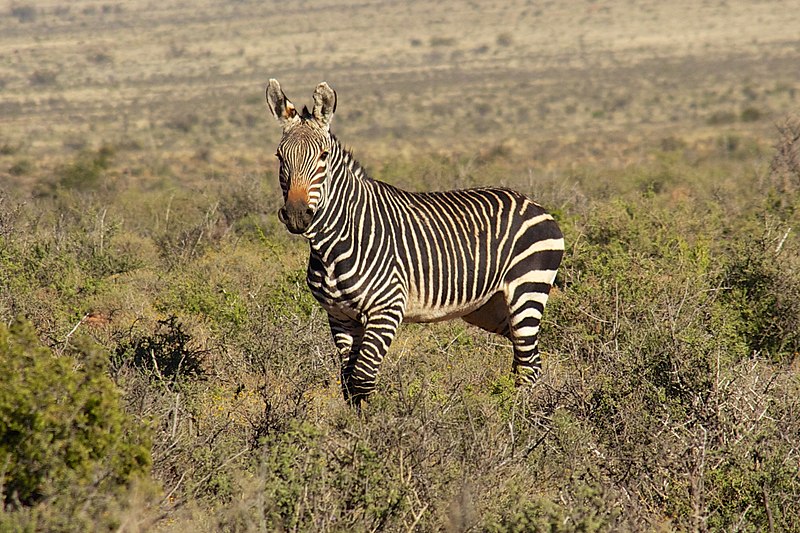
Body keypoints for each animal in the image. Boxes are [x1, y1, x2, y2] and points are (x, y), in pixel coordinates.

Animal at [264, 79, 564, 404]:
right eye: (280, 157)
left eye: (323, 156)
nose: (297, 215)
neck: (334, 245)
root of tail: (532, 203)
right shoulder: (340, 317)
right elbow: (348, 385)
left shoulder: (386, 310)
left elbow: (362, 380)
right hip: (490, 308)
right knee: (528, 359)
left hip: (527, 290)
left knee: (527, 365)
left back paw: (517, 414)